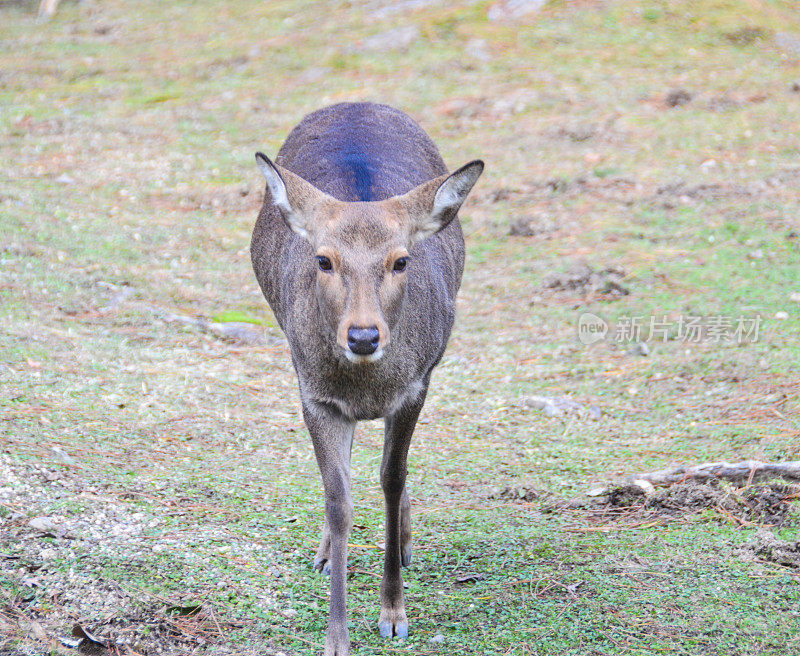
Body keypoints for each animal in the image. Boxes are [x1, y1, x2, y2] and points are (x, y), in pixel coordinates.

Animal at [250, 102, 482, 656]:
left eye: (401, 260)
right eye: (323, 260)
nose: (362, 335)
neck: (367, 388)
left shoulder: (415, 386)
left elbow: (392, 479)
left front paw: (393, 613)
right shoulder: (315, 395)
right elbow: (340, 500)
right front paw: (337, 637)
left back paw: (405, 543)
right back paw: (326, 552)